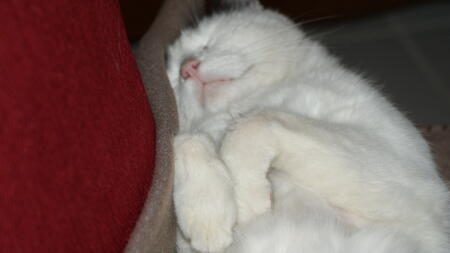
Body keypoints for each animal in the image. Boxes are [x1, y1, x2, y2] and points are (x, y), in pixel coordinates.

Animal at [166, 0, 450, 252]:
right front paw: (209, 219)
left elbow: (253, 123)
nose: (187, 68)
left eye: (208, 41)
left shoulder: (405, 180)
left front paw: (248, 203)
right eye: (173, 76)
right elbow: (186, 138)